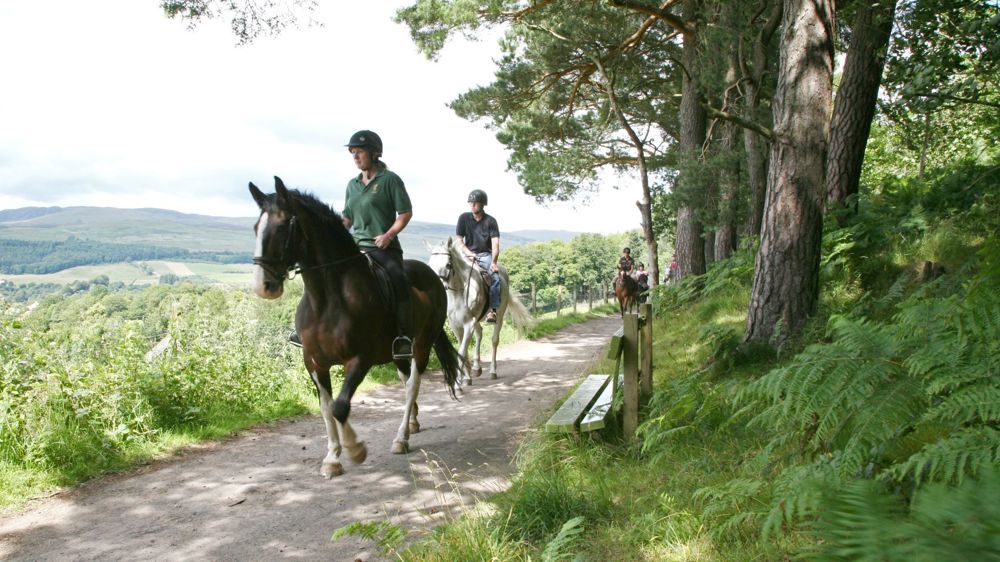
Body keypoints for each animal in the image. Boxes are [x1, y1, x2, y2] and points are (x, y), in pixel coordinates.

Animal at [250, 175, 460, 476]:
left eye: (280, 228)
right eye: (256, 228)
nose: (263, 286)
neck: (326, 299)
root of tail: (432, 275)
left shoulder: (360, 358)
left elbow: (340, 406)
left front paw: (355, 449)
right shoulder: (314, 363)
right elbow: (327, 408)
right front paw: (332, 458)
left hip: (422, 345)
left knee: (412, 385)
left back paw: (401, 438)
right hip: (400, 352)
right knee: (405, 380)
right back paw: (411, 424)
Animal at [426, 234, 536, 382]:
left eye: (448, 264)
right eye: (430, 266)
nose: (439, 287)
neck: (459, 293)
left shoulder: (468, 324)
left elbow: (462, 351)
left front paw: (461, 380)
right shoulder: (456, 324)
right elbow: (462, 349)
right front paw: (467, 376)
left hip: (499, 316)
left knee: (494, 340)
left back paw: (492, 371)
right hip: (477, 320)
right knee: (479, 333)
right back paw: (477, 368)